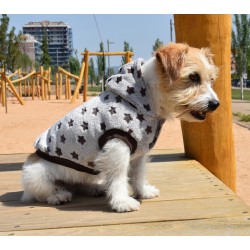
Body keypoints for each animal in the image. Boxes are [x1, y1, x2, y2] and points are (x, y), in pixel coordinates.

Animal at [22, 42, 220, 211]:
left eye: (211, 79)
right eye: (193, 77)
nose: (215, 104)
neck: (146, 98)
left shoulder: (139, 152)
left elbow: (138, 174)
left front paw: (143, 192)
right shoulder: (117, 148)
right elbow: (119, 177)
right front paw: (122, 202)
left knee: (79, 184)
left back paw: (93, 188)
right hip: (36, 176)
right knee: (41, 192)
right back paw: (59, 195)